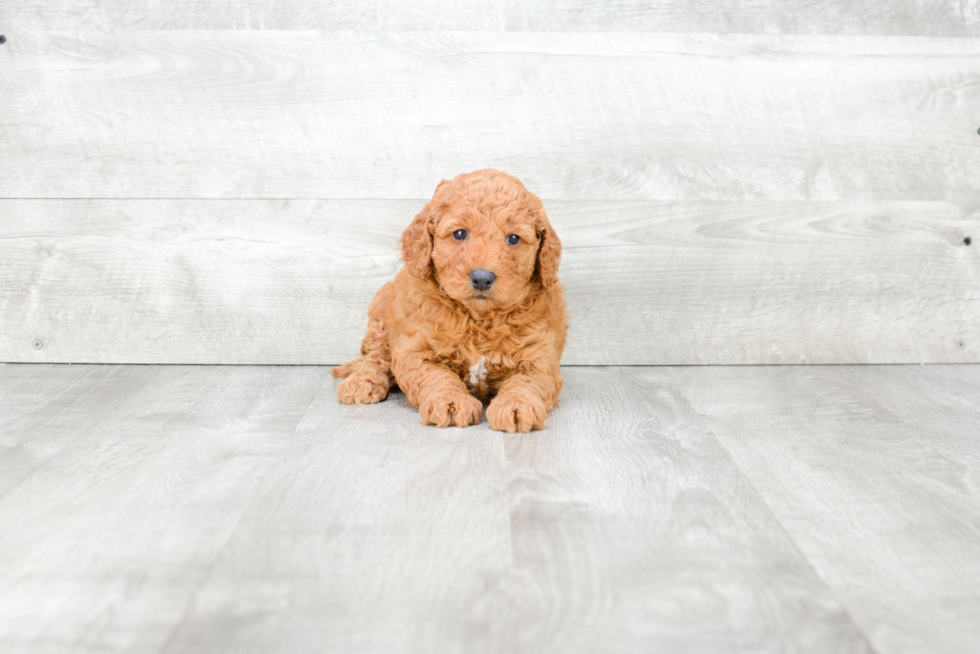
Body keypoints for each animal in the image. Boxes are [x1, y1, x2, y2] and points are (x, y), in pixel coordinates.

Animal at [332, 170, 568, 436]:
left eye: (514, 238)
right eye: (459, 233)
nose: (482, 278)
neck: (478, 317)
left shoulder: (539, 358)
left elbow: (526, 382)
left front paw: (517, 406)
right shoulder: (416, 352)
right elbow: (436, 377)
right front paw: (451, 402)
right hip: (381, 318)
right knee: (374, 357)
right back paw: (361, 383)